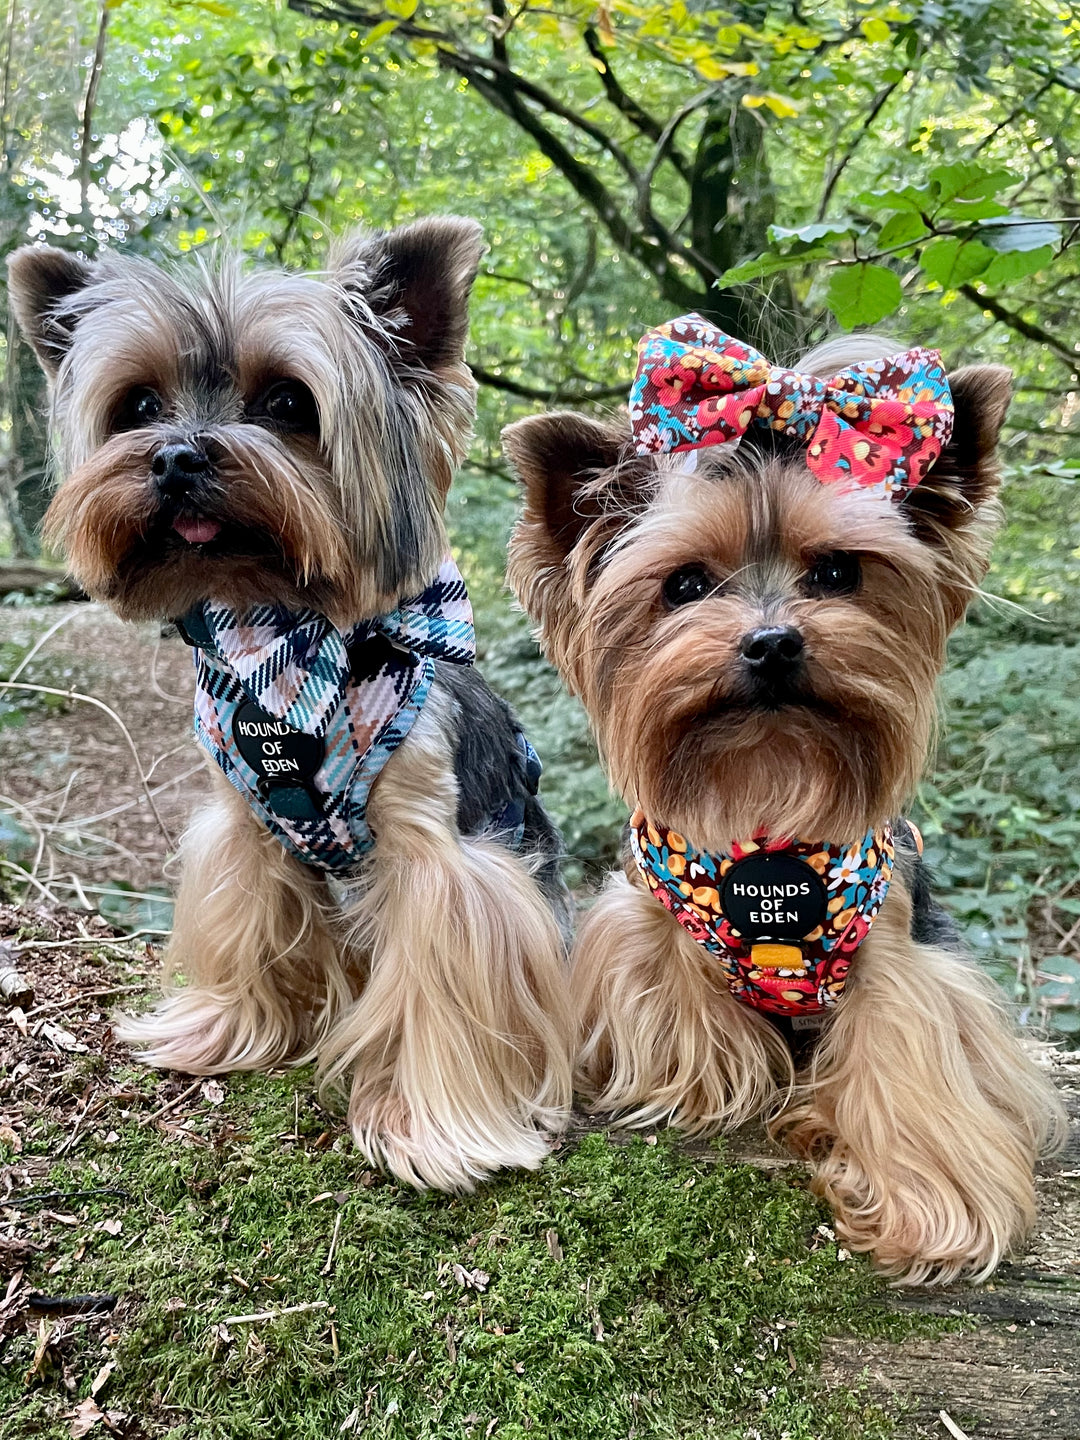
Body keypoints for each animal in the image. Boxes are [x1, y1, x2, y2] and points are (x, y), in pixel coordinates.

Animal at [8, 221, 578, 1192]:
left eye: (285, 401)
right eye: (138, 406)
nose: (178, 455)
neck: (275, 632)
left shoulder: (436, 854)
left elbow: (441, 982)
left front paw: (424, 1126)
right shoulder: (243, 823)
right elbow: (245, 924)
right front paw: (219, 1030)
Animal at [506, 315, 1065, 1284]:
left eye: (838, 573)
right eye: (686, 584)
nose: (772, 642)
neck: (766, 787)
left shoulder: (902, 949)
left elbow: (905, 1048)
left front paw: (931, 1203)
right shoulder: (650, 921)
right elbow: (680, 1000)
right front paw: (703, 1080)